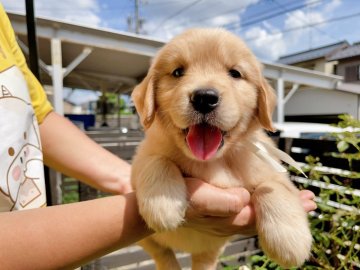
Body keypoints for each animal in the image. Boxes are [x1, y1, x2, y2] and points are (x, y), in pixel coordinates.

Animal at [130, 28, 312, 268]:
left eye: (235, 73)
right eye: (178, 72)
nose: (204, 98)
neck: (215, 160)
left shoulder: (269, 170)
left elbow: (273, 187)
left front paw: (289, 240)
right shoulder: (141, 159)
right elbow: (157, 160)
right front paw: (163, 203)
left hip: (212, 250)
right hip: (148, 241)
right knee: (163, 254)